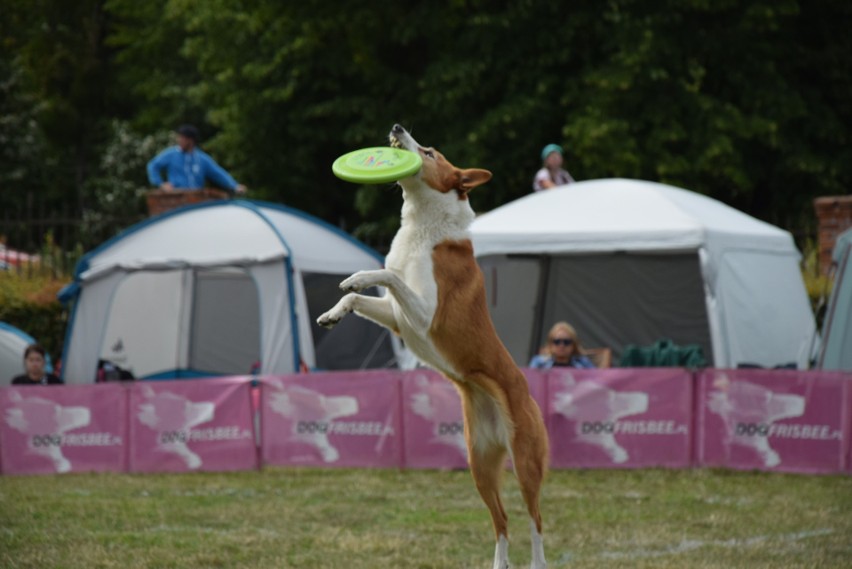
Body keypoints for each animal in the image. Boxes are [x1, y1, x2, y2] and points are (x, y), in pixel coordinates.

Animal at [316, 124, 548, 568]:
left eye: (429, 151)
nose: (396, 128)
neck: (422, 227)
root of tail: (526, 392)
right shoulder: (398, 318)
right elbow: (361, 297)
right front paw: (333, 313)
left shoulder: (425, 315)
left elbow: (386, 273)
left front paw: (358, 276)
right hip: (479, 463)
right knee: (502, 519)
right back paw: (498, 563)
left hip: (526, 462)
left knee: (535, 520)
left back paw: (537, 560)